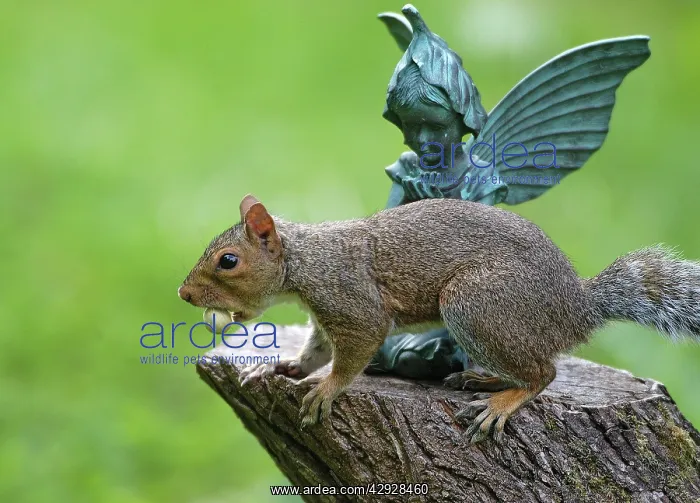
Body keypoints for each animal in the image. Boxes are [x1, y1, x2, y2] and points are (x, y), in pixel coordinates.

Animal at [179, 194, 700, 443]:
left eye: (228, 261)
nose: (183, 293)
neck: (306, 260)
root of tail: (576, 309)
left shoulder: (352, 302)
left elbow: (353, 353)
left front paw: (326, 390)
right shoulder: (327, 318)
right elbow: (316, 351)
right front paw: (282, 367)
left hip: (477, 303)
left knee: (543, 373)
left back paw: (501, 402)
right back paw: (482, 380)